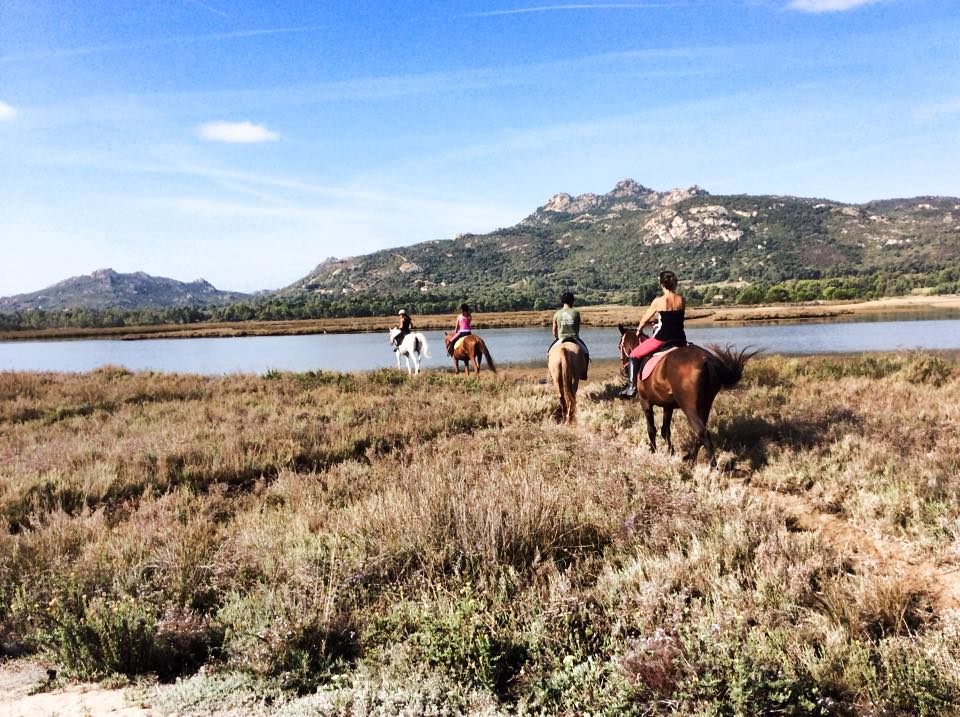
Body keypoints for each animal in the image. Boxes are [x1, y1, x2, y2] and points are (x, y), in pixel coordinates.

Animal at [620, 324, 760, 464]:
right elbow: (665, 430)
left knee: (702, 432)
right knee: (701, 433)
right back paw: (691, 457)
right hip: (706, 404)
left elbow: (651, 429)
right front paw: (670, 451)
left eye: (619, 346)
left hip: (689, 407)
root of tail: (706, 360)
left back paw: (712, 466)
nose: (623, 370)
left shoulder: (645, 402)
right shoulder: (668, 406)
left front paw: (653, 451)